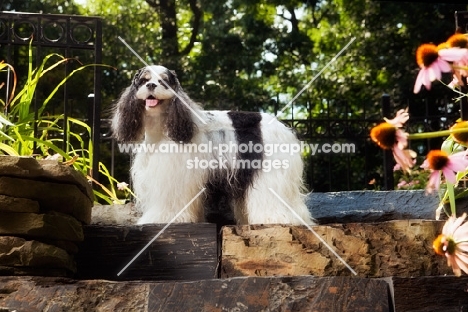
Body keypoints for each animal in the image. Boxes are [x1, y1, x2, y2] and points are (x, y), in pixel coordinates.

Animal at [111, 64, 312, 224]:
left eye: (164, 82)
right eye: (143, 80)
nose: (151, 85)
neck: (163, 129)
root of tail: (283, 128)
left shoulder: (174, 176)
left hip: (269, 173)